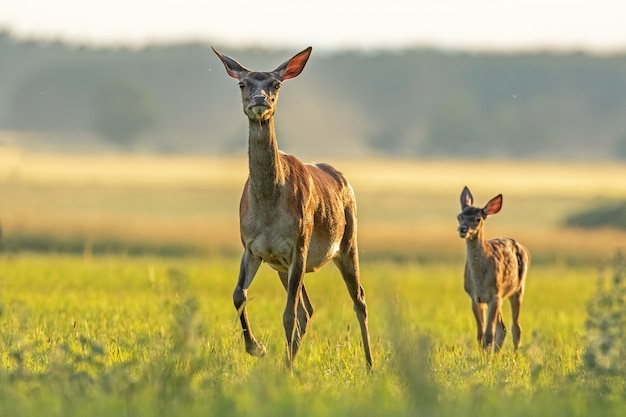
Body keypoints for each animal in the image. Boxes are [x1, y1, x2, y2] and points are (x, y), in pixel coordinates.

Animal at [212, 46, 372, 368]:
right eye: (243, 83)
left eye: (276, 84)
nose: (260, 100)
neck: (268, 211)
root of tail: (343, 179)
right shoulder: (253, 248)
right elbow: (238, 295)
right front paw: (257, 348)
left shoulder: (299, 242)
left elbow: (286, 314)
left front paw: (277, 363)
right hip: (283, 267)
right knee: (307, 310)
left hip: (347, 242)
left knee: (358, 299)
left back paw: (371, 365)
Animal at [454, 187, 528, 352]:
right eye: (459, 217)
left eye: (478, 218)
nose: (462, 229)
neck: (479, 280)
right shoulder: (475, 297)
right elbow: (480, 335)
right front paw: (483, 357)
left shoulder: (495, 294)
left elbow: (488, 335)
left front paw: (487, 358)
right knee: (503, 329)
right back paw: (497, 355)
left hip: (517, 289)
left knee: (516, 327)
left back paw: (515, 355)